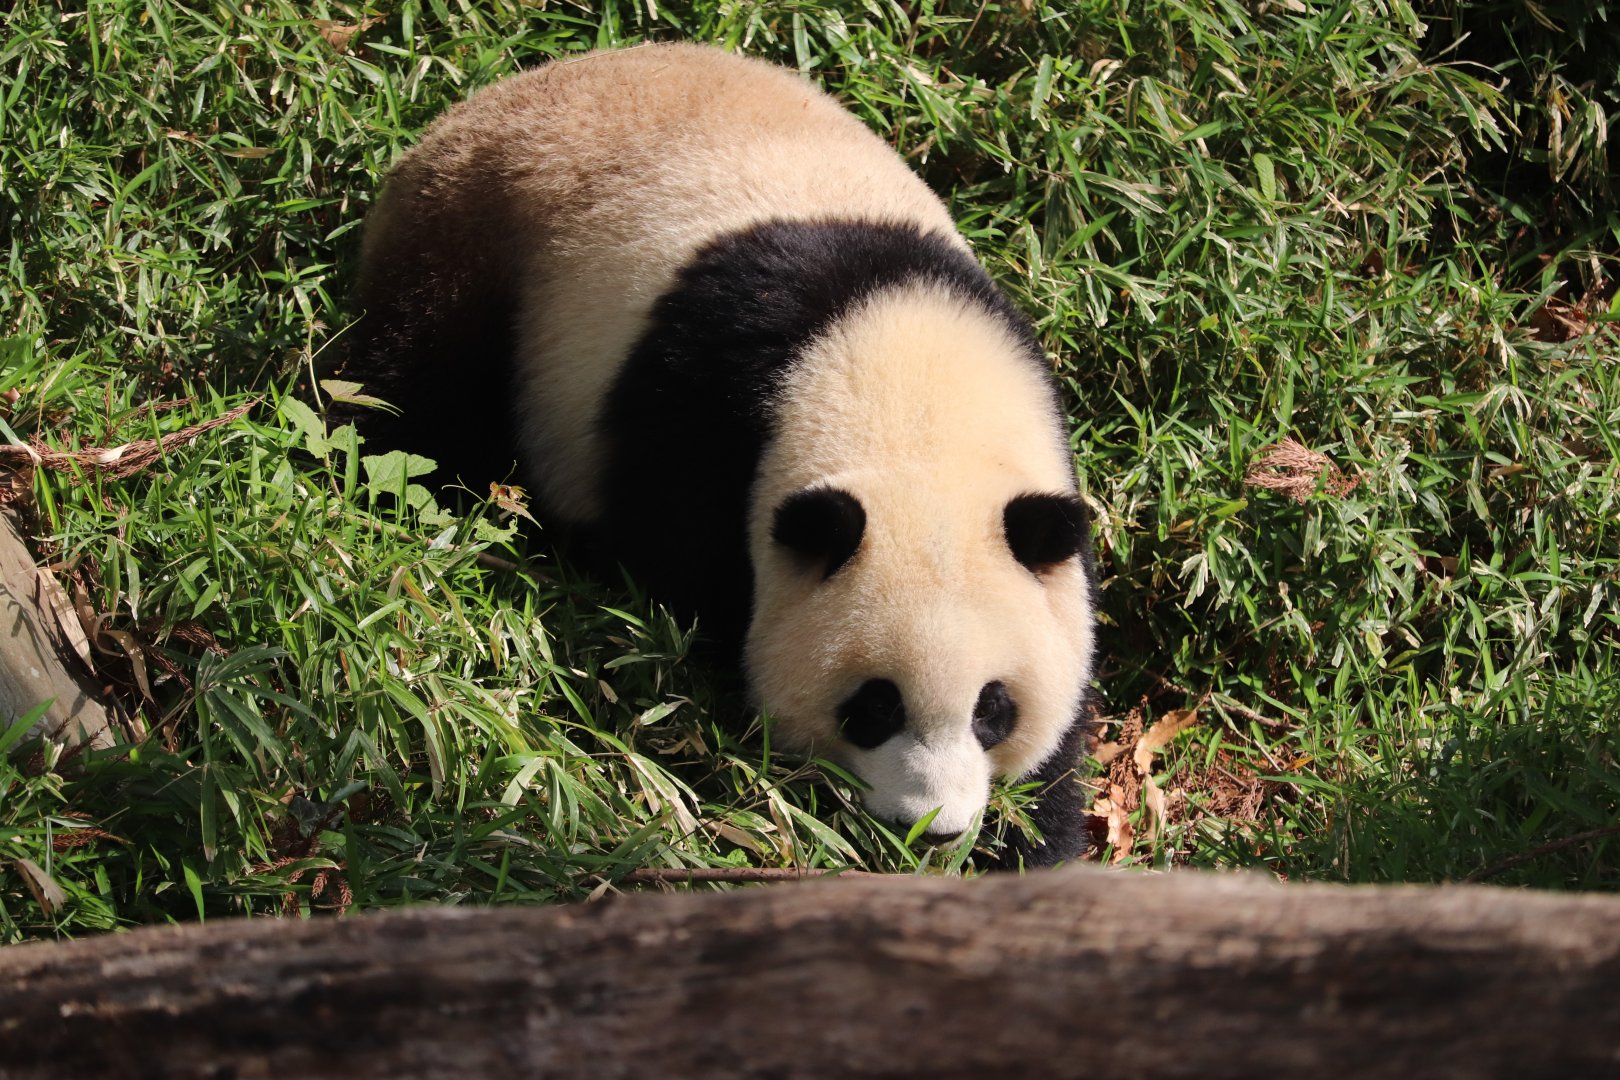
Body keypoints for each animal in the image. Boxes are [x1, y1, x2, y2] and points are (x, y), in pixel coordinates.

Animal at [344, 42, 1099, 867]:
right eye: (874, 704)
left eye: (993, 708)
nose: (932, 828)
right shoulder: (697, 428)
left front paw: (1029, 838)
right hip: (476, 251)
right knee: (417, 393)